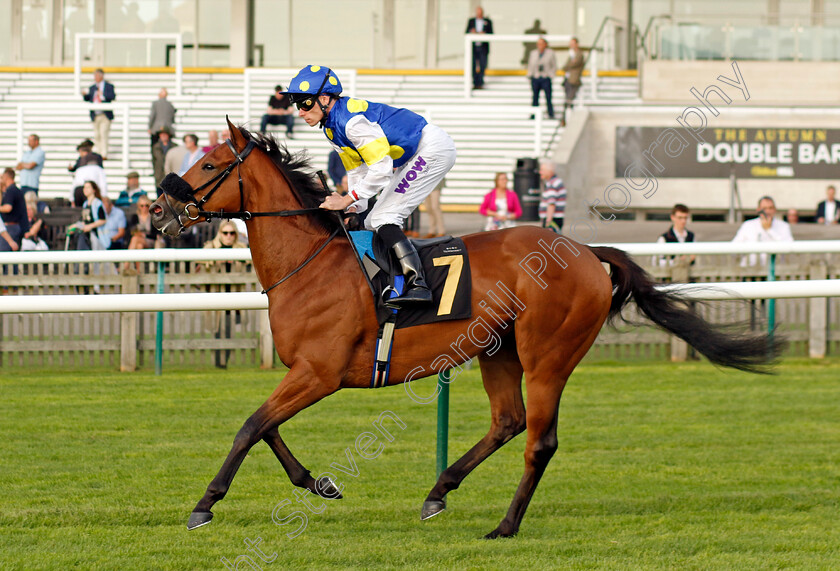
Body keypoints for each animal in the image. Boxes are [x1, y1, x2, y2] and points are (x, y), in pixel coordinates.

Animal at [149, 118, 780, 540]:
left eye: (209, 165)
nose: (157, 211)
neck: (310, 264)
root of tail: (583, 250)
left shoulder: (320, 374)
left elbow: (250, 427)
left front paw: (205, 505)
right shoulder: (305, 372)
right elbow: (266, 428)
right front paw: (319, 483)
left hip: (548, 354)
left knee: (539, 439)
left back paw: (505, 525)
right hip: (496, 348)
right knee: (508, 422)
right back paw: (438, 491)